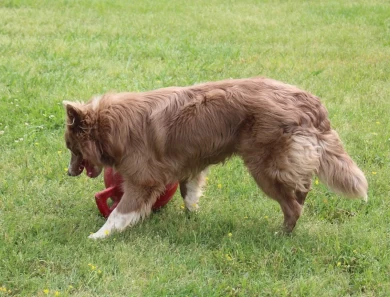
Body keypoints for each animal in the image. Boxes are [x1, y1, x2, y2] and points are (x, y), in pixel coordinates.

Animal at [62, 77, 368, 238]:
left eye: (71, 148)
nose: (68, 173)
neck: (110, 125)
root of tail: (309, 102)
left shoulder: (143, 180)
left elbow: (120, 212)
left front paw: (98, 236)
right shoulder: (188, 163)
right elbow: (187, 191)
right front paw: (191, 215)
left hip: (263, 167)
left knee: (293, 205)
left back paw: (281, 234)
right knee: (302, 187)